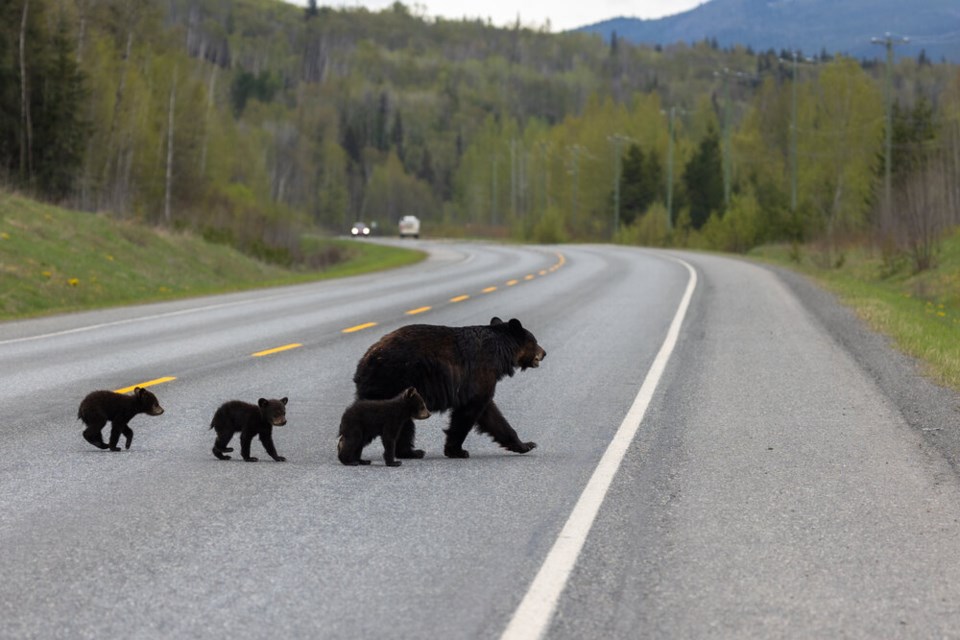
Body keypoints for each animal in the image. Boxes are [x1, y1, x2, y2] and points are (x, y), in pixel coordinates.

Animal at [352, 316, 548, 460]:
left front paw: (525, 445)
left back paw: (408, 452)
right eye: (535, 341)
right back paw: (411, 452)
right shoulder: (479, 374)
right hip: (394, 380)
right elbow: (470, 410)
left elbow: (492, 415)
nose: (544, 353)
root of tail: (364, 363)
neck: (500, 352)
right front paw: (457, 450)